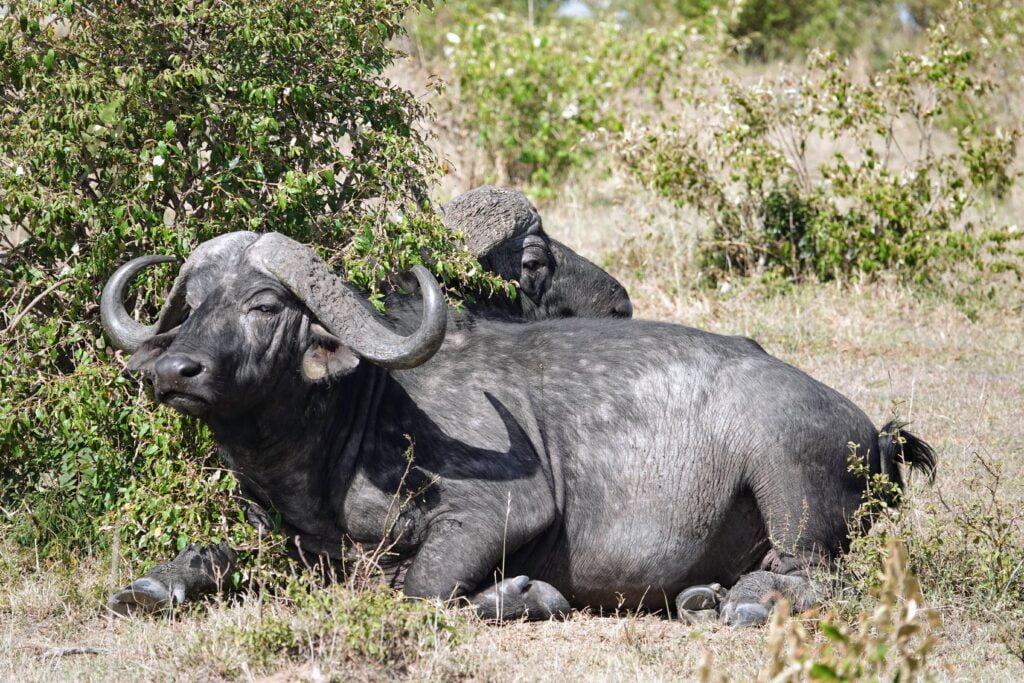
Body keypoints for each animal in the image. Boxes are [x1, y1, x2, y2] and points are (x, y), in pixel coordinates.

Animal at [99, 233, 933, 626]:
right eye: (192, 302)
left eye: (266, 305)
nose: (173, 370)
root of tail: (874, 433)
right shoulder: (285, 538)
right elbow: (212, 552)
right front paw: (157, 581)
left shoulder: (503, 510)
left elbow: (419, 586)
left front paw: (522, 594)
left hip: (786, 471)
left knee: (816, 573)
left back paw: (746, 602)